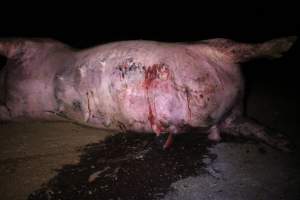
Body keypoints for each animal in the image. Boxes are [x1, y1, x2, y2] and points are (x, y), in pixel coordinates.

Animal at [0, 36, 296, 151]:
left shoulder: (36, 45)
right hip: (230, 118)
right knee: (249, 125)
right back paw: (284, 142)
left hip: (217, 45)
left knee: (243, 48)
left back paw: (287, 43)